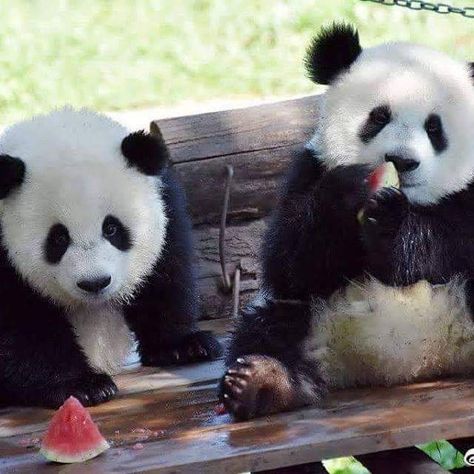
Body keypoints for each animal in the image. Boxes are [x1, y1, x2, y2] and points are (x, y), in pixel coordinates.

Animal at [0, 107, 222, 408]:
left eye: (112, 228)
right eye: (58, 238)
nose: (94, 283)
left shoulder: (165, 206)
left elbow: (166, 275)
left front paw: (183, 346)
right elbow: (21, 326)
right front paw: (84, 385)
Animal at [219, 24, 474, 420]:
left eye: (434, 128)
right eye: (378, 117)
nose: (402, 161)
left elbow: (456, 239)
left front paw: (393, 224)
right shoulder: (310, 168)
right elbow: (288, 262)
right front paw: (347, 192)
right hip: (315, 313)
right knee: (268, 324)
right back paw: (263, 381)